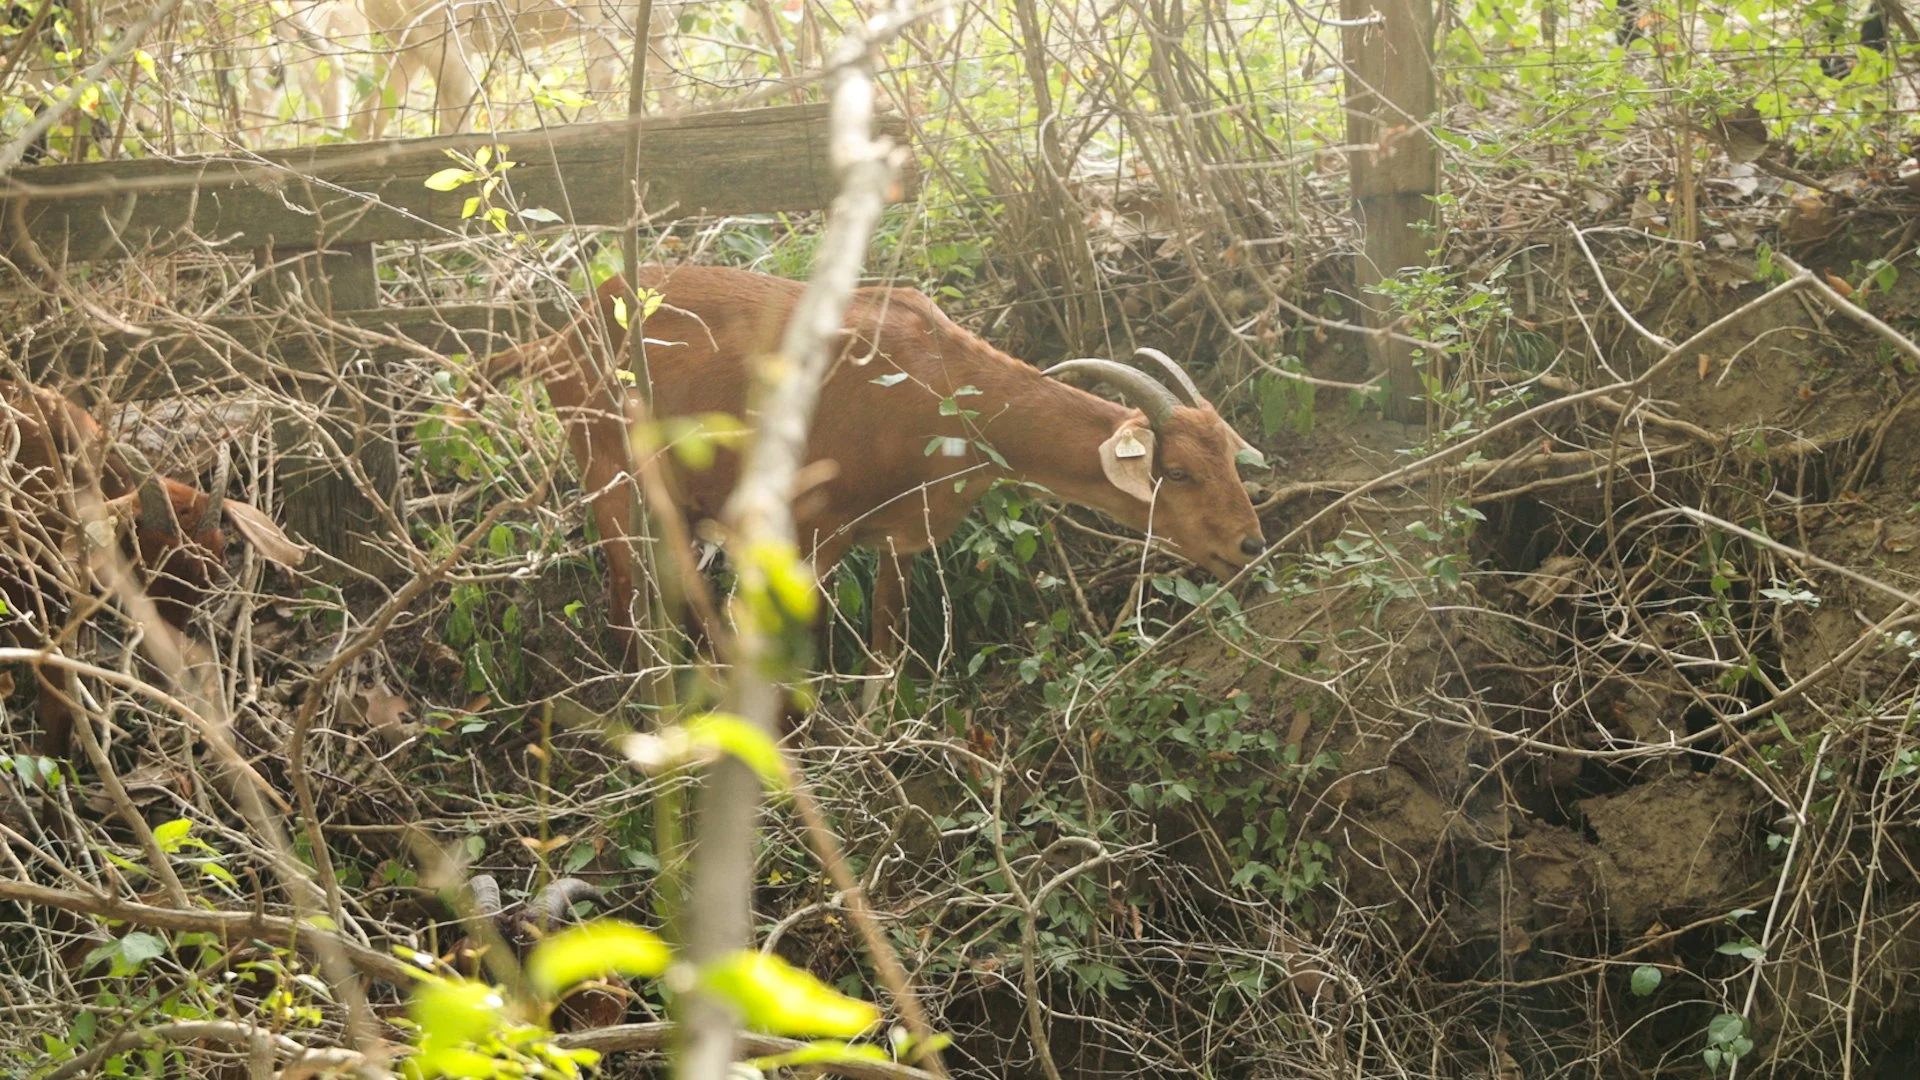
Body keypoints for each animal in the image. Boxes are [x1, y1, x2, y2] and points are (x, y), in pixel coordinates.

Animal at [480, 264, 1267, 673]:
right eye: (1178, 472)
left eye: (1231, 454)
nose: (1250, 543)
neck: (942, 387)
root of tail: (557, 338)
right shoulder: (807, 527)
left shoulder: (902, 533)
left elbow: (888, 642)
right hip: (606, 467)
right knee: (622, 592)